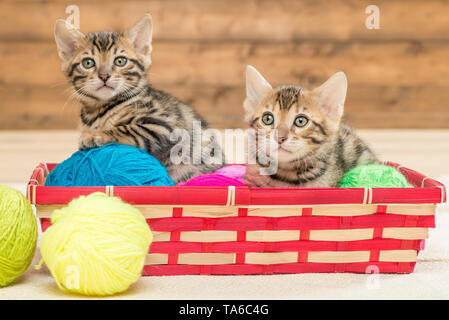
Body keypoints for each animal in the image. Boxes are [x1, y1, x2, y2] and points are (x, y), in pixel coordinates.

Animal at [54, 15, 222, 184]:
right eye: (88, 63)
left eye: (120, 61)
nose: (104, 76)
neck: (99, 109)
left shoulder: (166, 124)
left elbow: (127, 128)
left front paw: (95, 135)